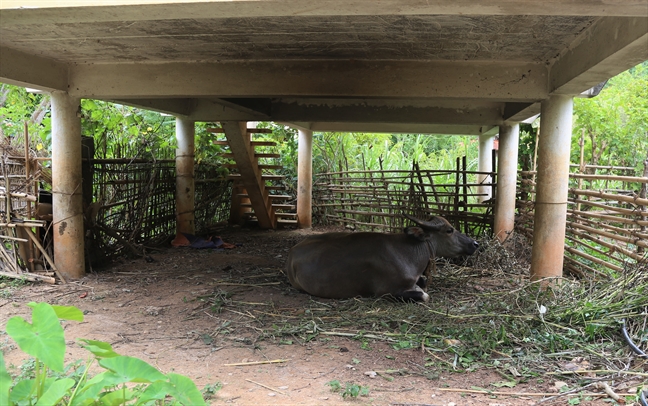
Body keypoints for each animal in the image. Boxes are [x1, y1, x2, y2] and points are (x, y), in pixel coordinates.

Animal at [286, 216, 478, 302]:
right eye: (449, 230)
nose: (475, 243)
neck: (409, 252)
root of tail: (293, 250)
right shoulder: (388, 291)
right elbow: (424, 295)